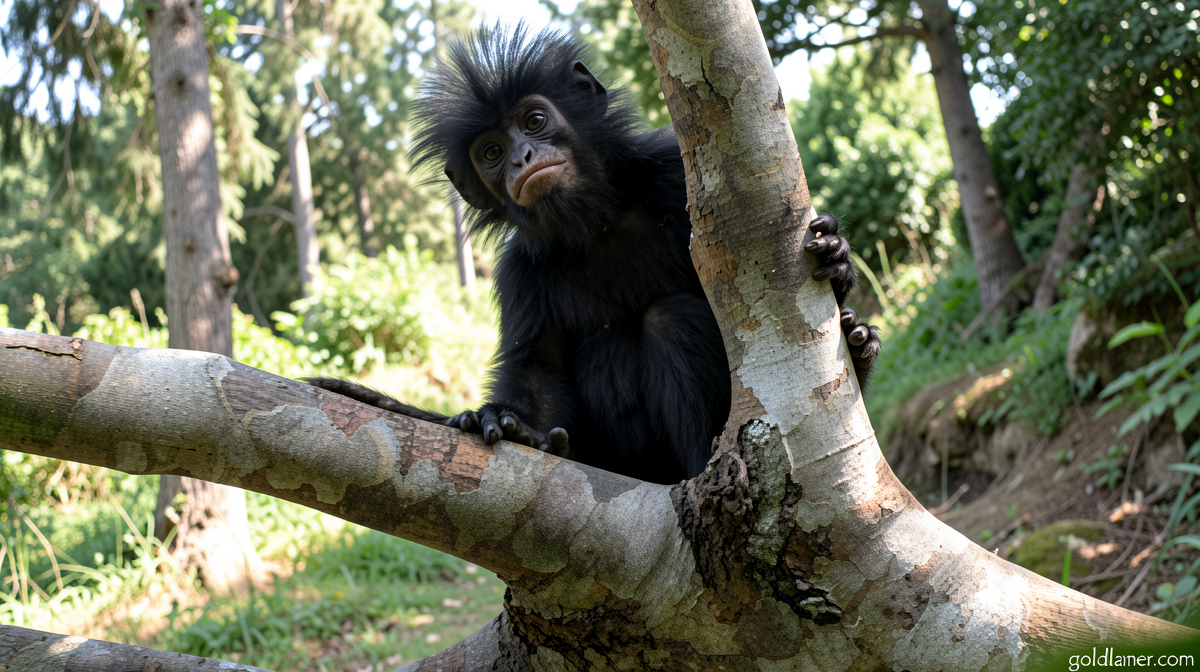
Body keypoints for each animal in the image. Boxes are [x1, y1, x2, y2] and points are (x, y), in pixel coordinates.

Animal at [308, 26, 881, 484]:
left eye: (534, 121)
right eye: (491, 152)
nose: (521, 157)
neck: (597, 224)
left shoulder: (673, 172)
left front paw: (836, 260)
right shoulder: (519, 272)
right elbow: (539, 369)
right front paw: (510, 424)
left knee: (670, 318)